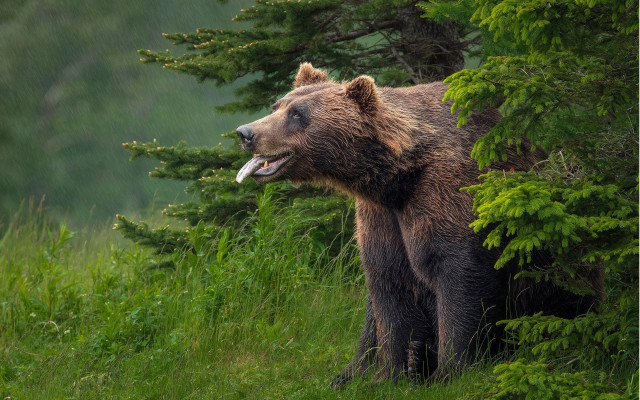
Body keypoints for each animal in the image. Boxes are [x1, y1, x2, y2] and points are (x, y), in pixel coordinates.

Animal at [234, 63, 603, 385]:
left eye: (298, 114)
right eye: (278, 105)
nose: (246, 132)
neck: (398, 176)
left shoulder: (448, 194)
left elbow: (460, 279)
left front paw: (449, 371)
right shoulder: (380, 218)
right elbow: (389, 287)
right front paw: (394, 371)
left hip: (559, 271)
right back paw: (352, 373)